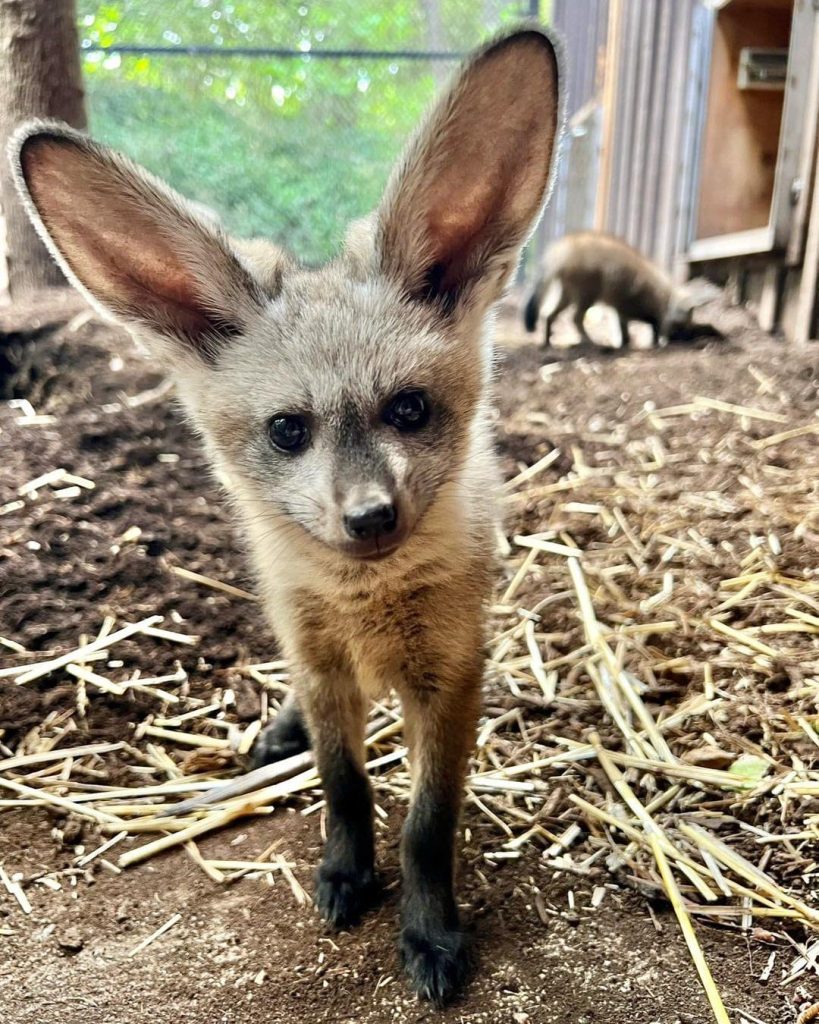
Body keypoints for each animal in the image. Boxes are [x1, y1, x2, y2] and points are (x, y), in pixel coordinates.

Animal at [10, 26, 561, 1004]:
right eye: (287, 430)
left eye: (408, 409)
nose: (370, 517)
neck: (366, 611)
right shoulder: (319, 658)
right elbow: (345, 787)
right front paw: (346, 872)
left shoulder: (451, 677)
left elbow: (426, 826)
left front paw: (428, 933)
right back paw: (282, 731)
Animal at [524, 231, 695, 348]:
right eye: (679, 327)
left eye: (684, 327)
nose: (682, 339)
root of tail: (562, 250)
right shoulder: (633, 305)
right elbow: (647, 324)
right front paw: (654, 341)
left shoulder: (622, 306)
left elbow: (627, 325)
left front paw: (628, 342)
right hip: (588, 291)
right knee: (576, 318)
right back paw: (588, 340)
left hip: (569, 293)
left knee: (548, 314)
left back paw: (547, 341)